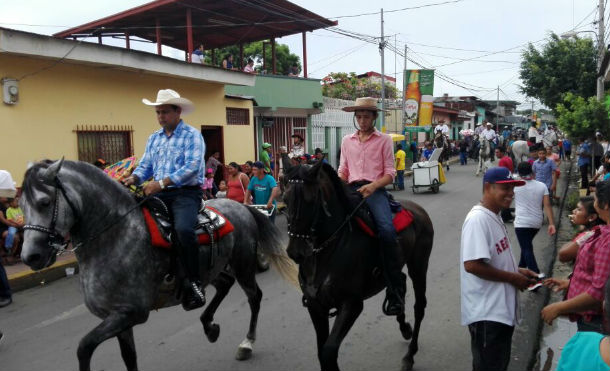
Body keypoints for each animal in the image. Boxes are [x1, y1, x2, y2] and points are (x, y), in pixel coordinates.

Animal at [22, 160, 300, 371]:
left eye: (45, 202)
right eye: (22, 205)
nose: (31, 256)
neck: (115, 236)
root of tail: (241, 205)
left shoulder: (131, 313)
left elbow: (84, 348)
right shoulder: (118, 318)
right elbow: (128, 357)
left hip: (243, 264)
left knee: (254, 296)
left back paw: (247, 343)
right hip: (212, 269)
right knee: (224, 285)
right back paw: (209, 325)